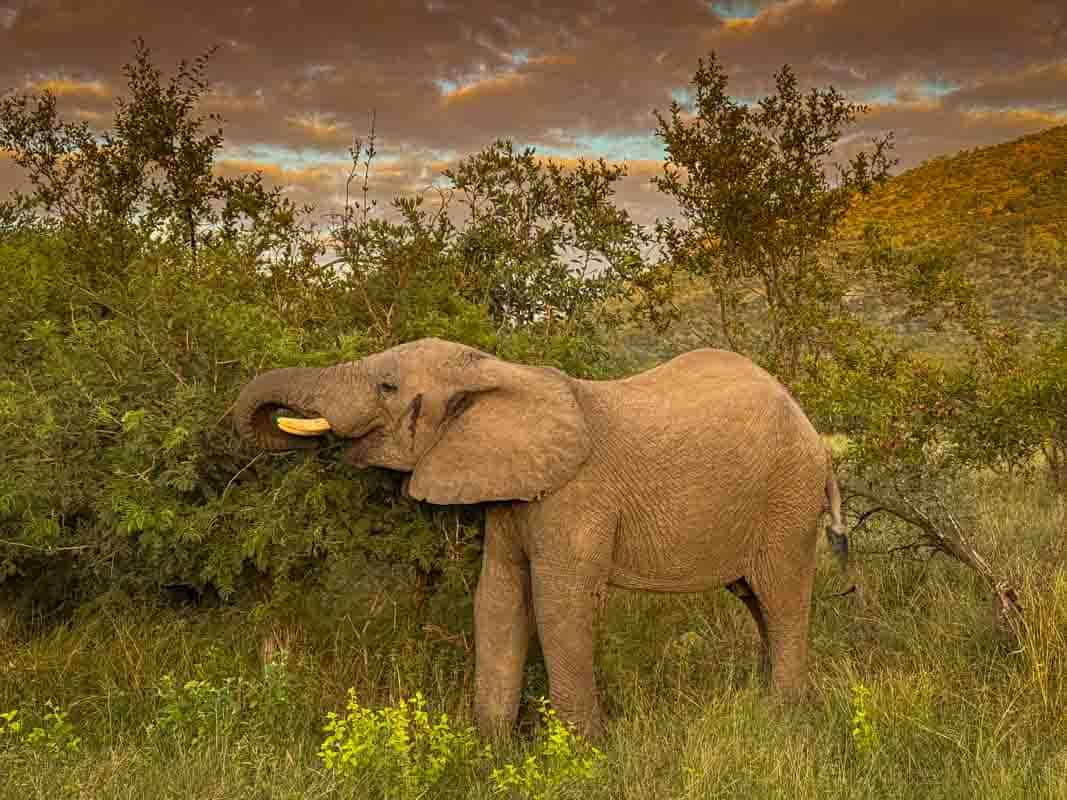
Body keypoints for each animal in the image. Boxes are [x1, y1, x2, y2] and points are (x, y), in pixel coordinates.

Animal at [235, 337, 849, 738]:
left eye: (388, 386)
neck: (499, 372)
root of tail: (814, 435)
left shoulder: (574, 496)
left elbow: (559, 604)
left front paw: (582, 753)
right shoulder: (510, 497)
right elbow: (497, 598)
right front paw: (489, 749)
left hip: (788, 498)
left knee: (782, 598)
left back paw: (783, 717)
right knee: (756, 601)